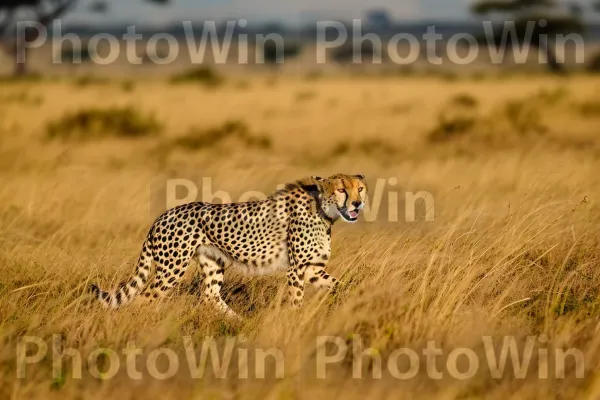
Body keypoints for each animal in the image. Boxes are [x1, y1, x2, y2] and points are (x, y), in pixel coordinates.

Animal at [91, 173, 368, 318]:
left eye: (361, 189)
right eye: (341, 189)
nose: (357, 204)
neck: (323, 209)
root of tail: (161, 217)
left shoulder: (311, 268)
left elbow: (341, 285)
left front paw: (356, 299)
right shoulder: (297, 269)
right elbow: (296, 298)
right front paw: (294, 320)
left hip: (212, 261)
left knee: (210, 295)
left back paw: (238, 322)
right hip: (172, 268)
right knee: (144, 298)